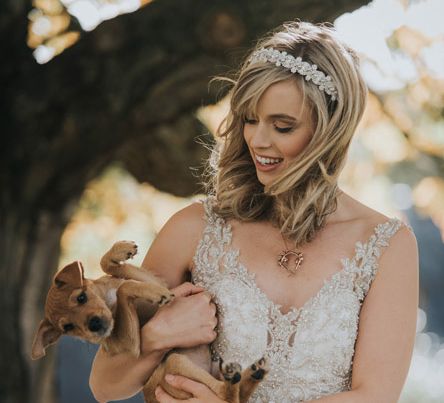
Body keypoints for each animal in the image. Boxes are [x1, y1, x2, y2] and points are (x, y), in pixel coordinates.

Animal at [32, 241, 268, 402]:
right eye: (68, 328)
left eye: (81, 297)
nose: (95, 326)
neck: (109, 301)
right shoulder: (129, 346)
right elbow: (126, 288)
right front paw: (155, 294)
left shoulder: (151, 279)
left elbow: (111, 268)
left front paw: (122, 250)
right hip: (177, 364)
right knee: (229, 397)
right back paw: (238, 380)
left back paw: (251, 374)